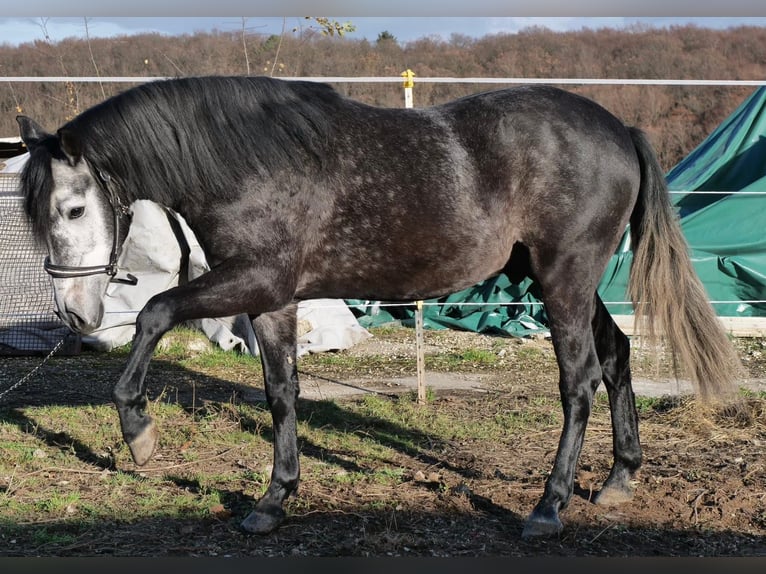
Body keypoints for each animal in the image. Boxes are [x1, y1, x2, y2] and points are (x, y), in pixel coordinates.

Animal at [17, 75, 741, 538]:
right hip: (562, 279)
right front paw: (274, 500)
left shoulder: (253, 279)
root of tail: (618, 127)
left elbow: (154, 314)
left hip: (564, 278)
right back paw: (619, 479)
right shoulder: (273, 300)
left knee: (579, 381)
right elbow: (281, 393)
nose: (75, 316)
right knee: (617, 355)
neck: (249, 163)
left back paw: (548, 508)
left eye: (73, 209)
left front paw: (138, 432)